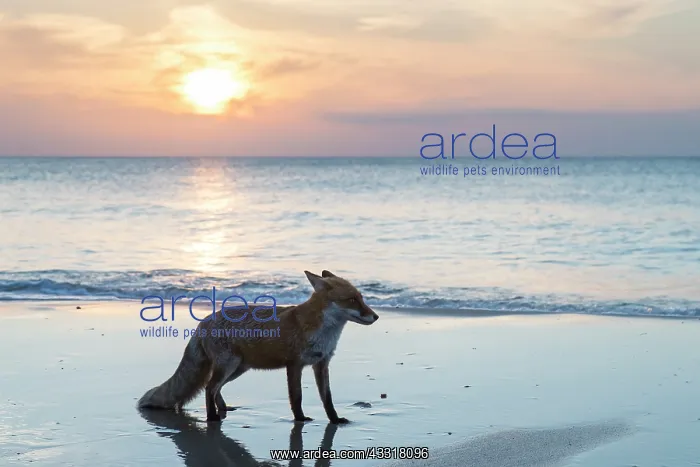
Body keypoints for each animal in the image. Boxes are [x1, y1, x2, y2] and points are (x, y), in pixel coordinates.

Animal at [137, 270, 379, 424]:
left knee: (214, 388)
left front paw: (335, 420)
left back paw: (222, 409)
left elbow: (327, 399)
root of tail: (204, 321)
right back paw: (212, 418)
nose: (376, 317)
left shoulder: (321, 364)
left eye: (362, 298)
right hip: (229, 366)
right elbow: (297, 397)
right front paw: (300, 420)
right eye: (352, 300)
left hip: (237, 369)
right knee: (209, 388)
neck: (322, 331)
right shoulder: (294, 364)